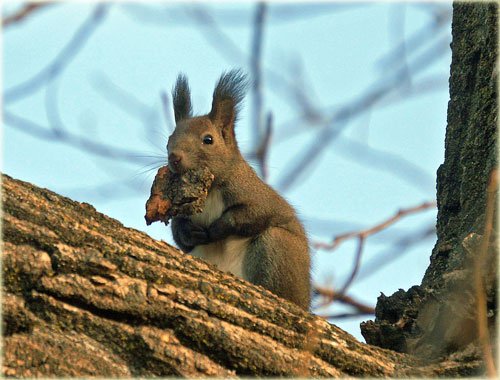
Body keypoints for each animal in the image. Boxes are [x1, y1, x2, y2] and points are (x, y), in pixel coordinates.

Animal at [166, 70, 310, 310]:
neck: (210, 189)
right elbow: (179, 234)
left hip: (276, 247)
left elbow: (250, 215)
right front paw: (190, 232)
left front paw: (218, 228)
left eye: (208, 139)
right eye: (169, 139)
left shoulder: (254, 195)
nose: (174, 157)